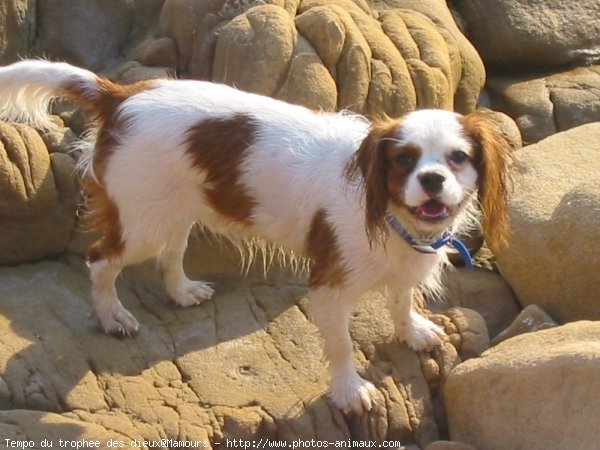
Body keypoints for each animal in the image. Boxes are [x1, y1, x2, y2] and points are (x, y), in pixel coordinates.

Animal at [0, 59, 510, 414]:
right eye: (404, 160)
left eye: (458, 158)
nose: (431, 180)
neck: (391, 213)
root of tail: (122, 94)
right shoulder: (330, 285)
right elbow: (342, 345)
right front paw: (349, 391)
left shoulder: (404, 264)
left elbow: (401, 300)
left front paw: (413, 331)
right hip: (142, 221)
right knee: (100, 260)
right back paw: (112, 317)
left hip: (176, 208)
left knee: (172, 253)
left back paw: (181, 291)